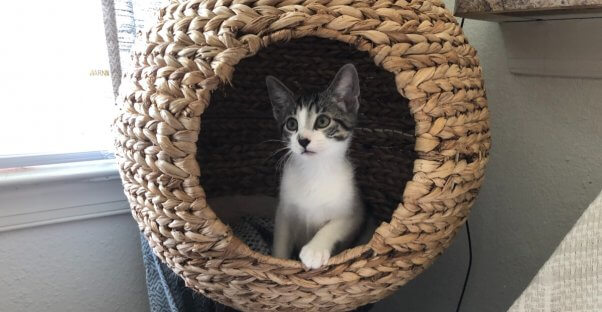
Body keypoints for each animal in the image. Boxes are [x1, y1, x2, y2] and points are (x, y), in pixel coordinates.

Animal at [266, 64, 360, 270]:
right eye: (291, 124)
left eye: (323, 121)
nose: (302, 140)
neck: (314, 171)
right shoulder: (284, 211)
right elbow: (281, 240)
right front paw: (279, 261)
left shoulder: (353, 212)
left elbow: (335, 224)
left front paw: (314, 250)